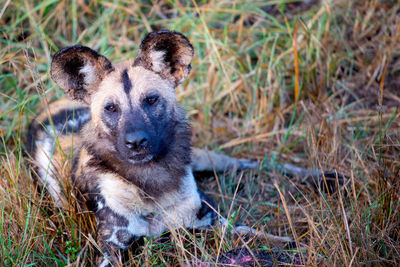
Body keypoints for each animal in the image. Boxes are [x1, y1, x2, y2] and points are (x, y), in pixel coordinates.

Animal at [29, 30, 258, 266]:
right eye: (111, 108)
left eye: (151, 100)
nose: (136, 142)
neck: (151, 181)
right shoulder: (111, 248)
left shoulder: (211, 219)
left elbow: (259, 234)